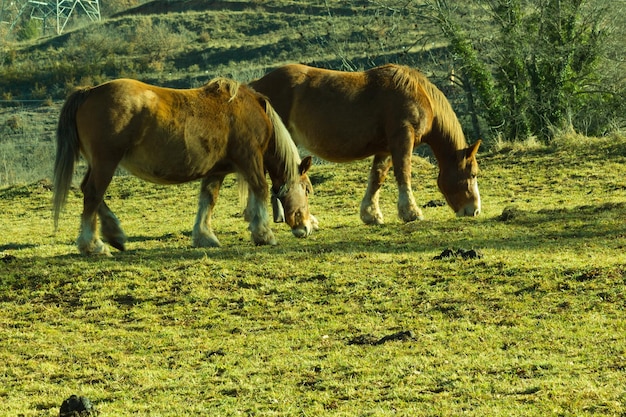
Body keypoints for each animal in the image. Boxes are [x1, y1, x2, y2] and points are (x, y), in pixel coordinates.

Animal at [54, 76, 312, 255]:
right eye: (308, 190)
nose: (307, 227)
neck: (253, 111)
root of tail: (89, 92)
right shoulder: (250, 160)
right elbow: (260, 189)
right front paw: (264, 234)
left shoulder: (217, 171)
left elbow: (208, 199)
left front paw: (204, 236)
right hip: (106, 162)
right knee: (93, 193)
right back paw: (92, 245)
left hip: (98, 163)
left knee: (89, 191)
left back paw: (114, 234)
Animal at [249, 62, 478, 224]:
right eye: (473, 174)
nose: (474, 210)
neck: (418, 94)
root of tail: (256, 86)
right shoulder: (403, 139)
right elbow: (404, 173)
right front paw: (411, 212)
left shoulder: (385, 148)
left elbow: (377, 178)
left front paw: (371, 214)